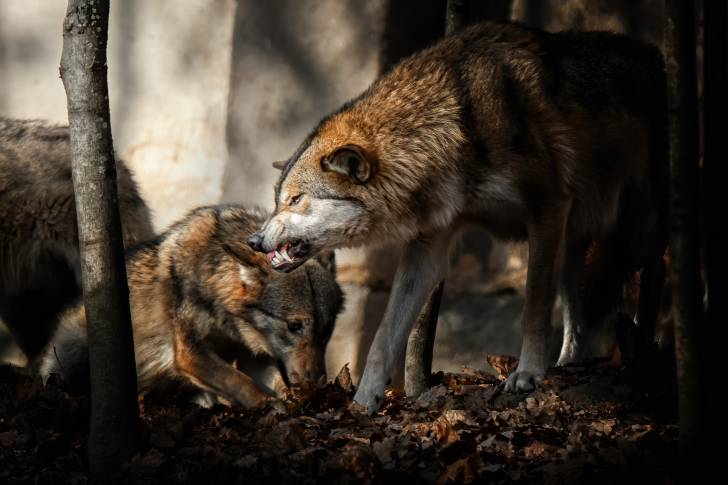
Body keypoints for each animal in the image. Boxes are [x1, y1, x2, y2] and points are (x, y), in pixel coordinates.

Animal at [38, 205, 343, 408]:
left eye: (326, 330)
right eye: (294, 326)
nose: (318, 381)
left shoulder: (251, 356)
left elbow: (267, 380)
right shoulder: (189, 352)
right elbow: (239, 381)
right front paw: (271, 405)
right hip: (72, 350)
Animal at [248, 22, 669, 413]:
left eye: (296, 199)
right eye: (277, 200)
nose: (254, 241)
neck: (456, 126)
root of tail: (657, 56)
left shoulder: (547, 209)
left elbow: (533, 306)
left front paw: (528, 373)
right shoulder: (429, 246)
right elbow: (384, 336)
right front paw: (364, 402)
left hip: (635, 227)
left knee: (653, 279)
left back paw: (644, 352)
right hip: (573, 242)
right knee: (577, 314)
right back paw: (569, 364)